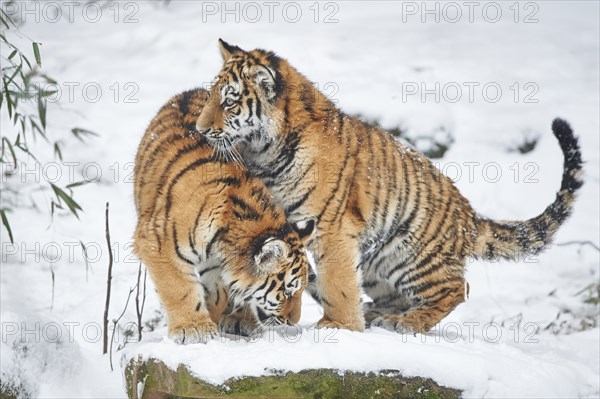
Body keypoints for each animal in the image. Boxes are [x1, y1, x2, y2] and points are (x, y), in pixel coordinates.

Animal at [134, 87, 316, 344]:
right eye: (287, 290)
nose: (293, 321)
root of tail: (191, 90)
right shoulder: (158, 242)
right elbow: (180, 289)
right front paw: (194, 329)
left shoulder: (215, 266)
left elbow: (219, 291)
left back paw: (241, 320)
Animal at [195, 40, 584, 334]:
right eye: (212, 96)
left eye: (229, 100)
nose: (199, 129)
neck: (264, 152)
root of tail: (469, 215)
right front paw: (242, 318)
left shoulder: (331, 226)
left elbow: (336, 280)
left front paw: (338, 325)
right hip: (376, 262)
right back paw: (378, 314)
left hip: (412, 254)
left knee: (458, 288)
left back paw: (407, 322)